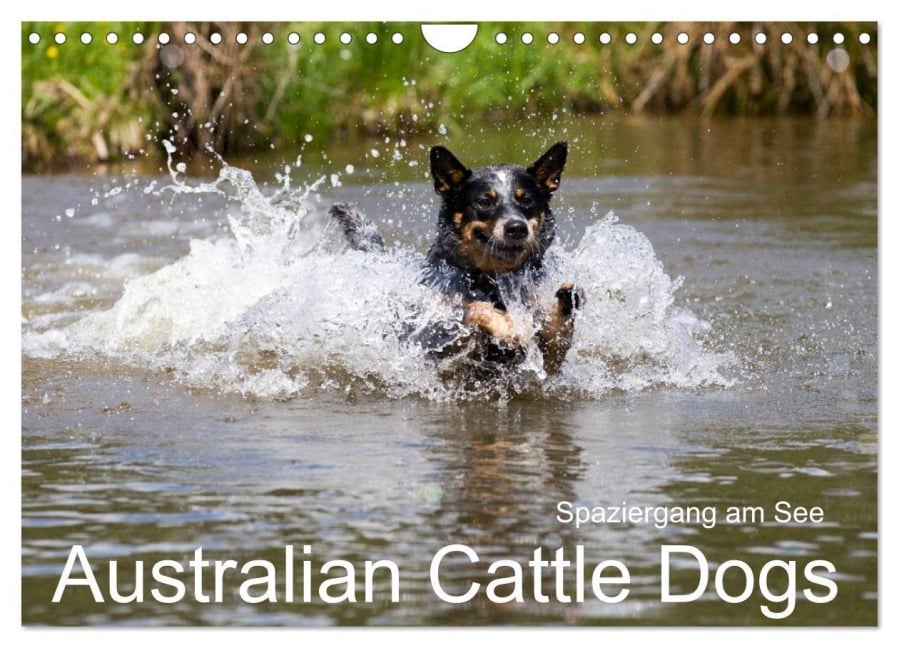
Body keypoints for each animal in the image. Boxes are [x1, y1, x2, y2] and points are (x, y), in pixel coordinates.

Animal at [330, 141, 584, 374]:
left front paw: (568, 301)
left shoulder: (549, 359)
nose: (516, 227)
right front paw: (508, 327)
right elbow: (475, 309)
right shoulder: (432, 344)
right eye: (484, 201)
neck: (491, 280)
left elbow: (556, 337)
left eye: (526, 200)